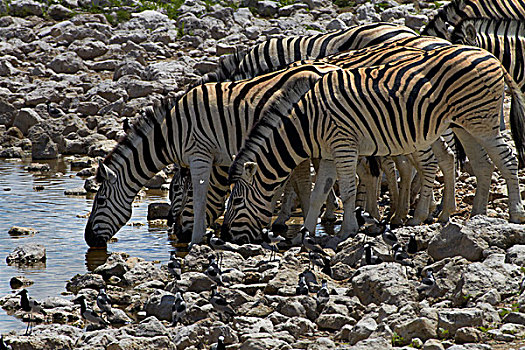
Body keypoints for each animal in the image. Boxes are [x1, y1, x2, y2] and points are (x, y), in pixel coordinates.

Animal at [84, 63, 342, 249]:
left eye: (100, 201)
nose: (88, 239)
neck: (169, 134)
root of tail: (328, 68)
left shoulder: (199, 154)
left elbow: (199, 196)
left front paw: (196, 238)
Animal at [221, 45, 524, 243]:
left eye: (235, 201)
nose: (225, 237)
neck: (306, 122)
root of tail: (491, 56)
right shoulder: (329, 154)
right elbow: (319, 193)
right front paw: (305, 233)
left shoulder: (343, 146)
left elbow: (347, 190)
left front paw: (347, 230)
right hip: (466, 125)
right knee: (482, 164)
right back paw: (476, 215)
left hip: (481, 121)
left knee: (508, 160)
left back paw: (515, 214)